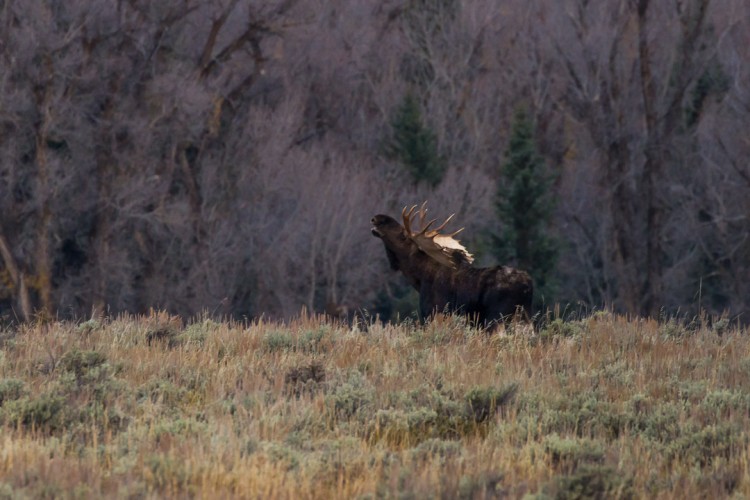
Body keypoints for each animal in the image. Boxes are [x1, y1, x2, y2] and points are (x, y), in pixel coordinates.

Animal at [374, 203, 532, 328]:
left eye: (403, 234)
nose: (378, 218)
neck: (420, 277)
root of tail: (528, 285)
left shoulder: (433, 311)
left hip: (496, 316)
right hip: (525, 316)